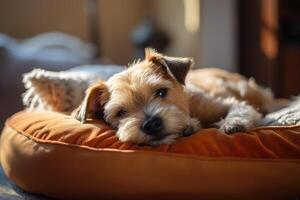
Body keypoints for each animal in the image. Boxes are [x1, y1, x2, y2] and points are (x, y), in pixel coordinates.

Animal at [72, 48, 276, 145]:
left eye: (161, 92)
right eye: (121, 113)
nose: (151, 124)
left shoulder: (228, 103)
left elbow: (240, 110)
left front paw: (233, 123)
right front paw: (189, 126)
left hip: (245, 90)